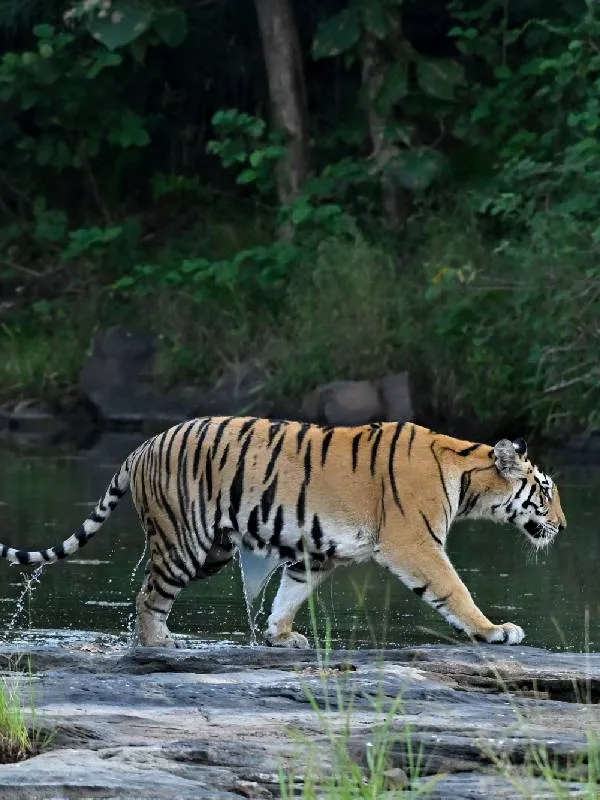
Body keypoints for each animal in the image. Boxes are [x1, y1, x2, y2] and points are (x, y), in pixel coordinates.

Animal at [0, 417, 566, 648]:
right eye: (545, 490)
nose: (563, 526)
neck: (467, 477)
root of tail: (140, 446)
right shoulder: (415, 543)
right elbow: (455, 590)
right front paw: (495, 631)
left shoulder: (323, 552)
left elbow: (290, 593)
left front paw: (280, 635)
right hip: (185, 541)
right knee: (147, 595)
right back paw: (160, 643)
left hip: (212, 548)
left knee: (150, 591)